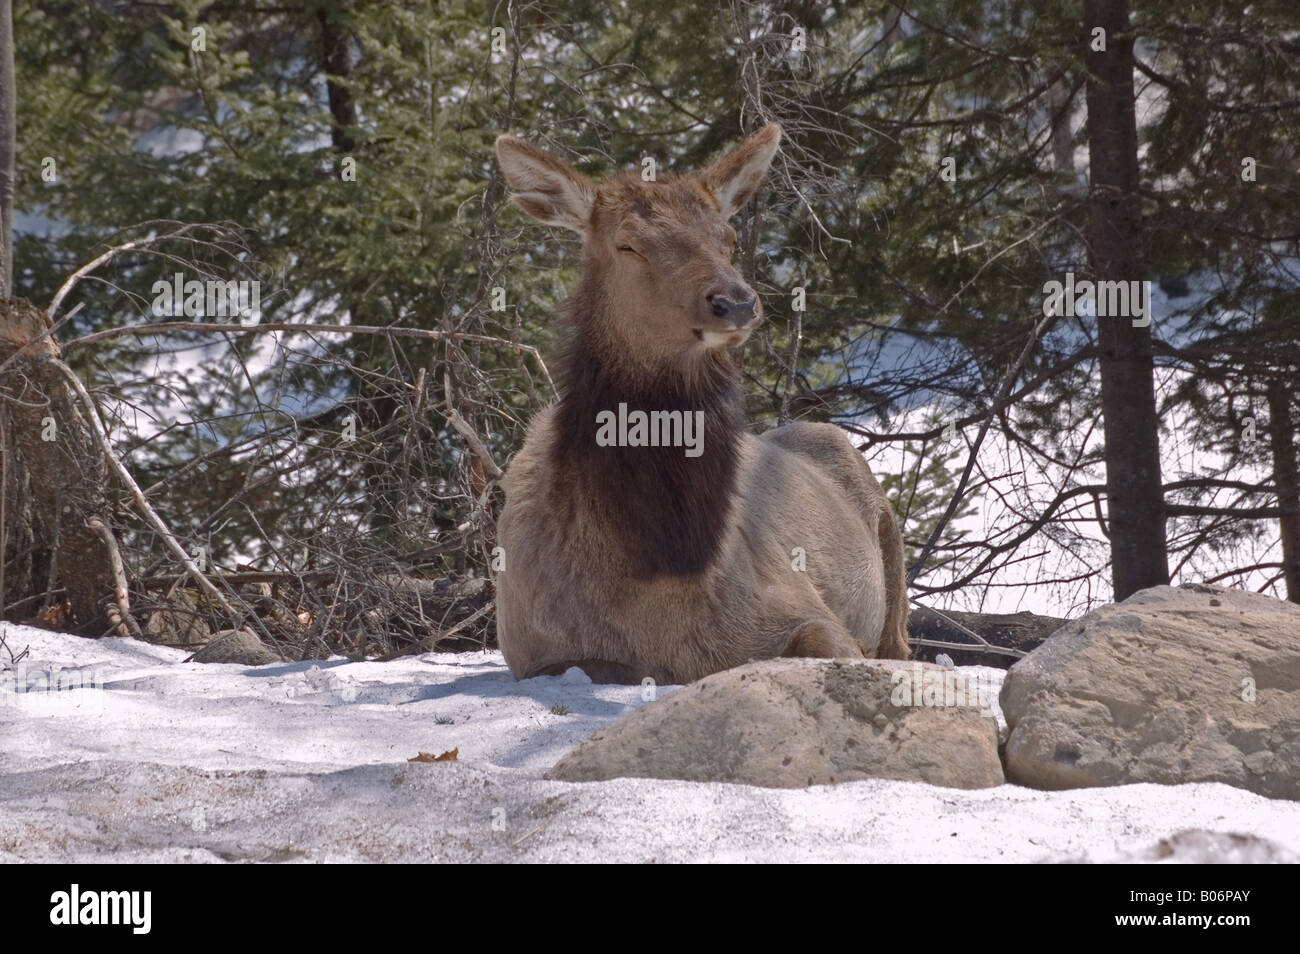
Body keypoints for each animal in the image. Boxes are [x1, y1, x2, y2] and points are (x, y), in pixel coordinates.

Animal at [491, 125, 909, 686]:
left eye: (727, 238)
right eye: (628, 244)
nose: (735, 302)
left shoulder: (799, 605)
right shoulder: (534, 653)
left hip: (891, 547)